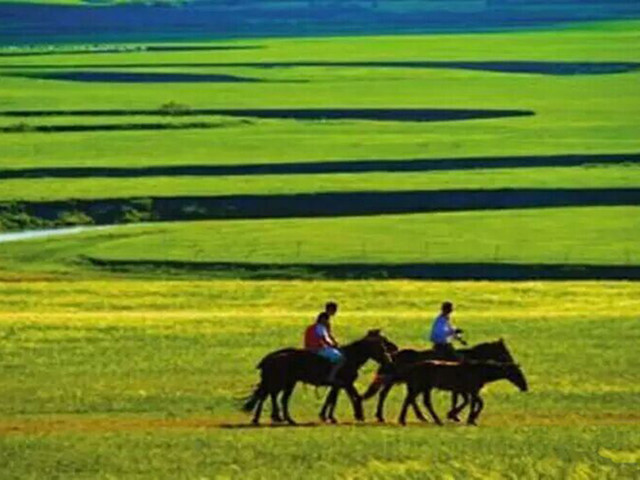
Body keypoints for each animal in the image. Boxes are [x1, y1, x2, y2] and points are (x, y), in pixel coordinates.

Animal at [242, 328, 398, 426]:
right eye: (382, 344)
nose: (389, 358)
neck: (351, 357)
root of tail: (270, 358)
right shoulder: (345, 383)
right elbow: (354, 397)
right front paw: (358, 415)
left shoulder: (338, 385)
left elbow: (332, 399)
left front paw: (327, 417)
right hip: (281, 382)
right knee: (272, 396)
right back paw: (276, 418)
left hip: (287, 383)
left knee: (273, 397)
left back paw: (277, 418)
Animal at [360, 340, 516, 422]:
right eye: (505, 352)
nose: (512, 362)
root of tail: (391, 356)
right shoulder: (460, 387)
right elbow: (462, 400)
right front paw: (453, 415)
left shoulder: (458, 387)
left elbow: (459, 400)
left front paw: (454, 415)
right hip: (395, 381)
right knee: (386, 395)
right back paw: (382, 416)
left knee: (407, 398)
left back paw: (419, 416)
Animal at [396, 358, 528, 426]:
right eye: (516, 373)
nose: (525, 387)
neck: (480, 371)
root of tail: (413, 367)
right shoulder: (472, 391)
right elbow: (476, 404)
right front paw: (470, 419)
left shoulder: (468, 391)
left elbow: (475, 403)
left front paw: (462, 417)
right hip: (421, 387)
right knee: (414, 400)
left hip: (424, 388)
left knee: (415, 401)